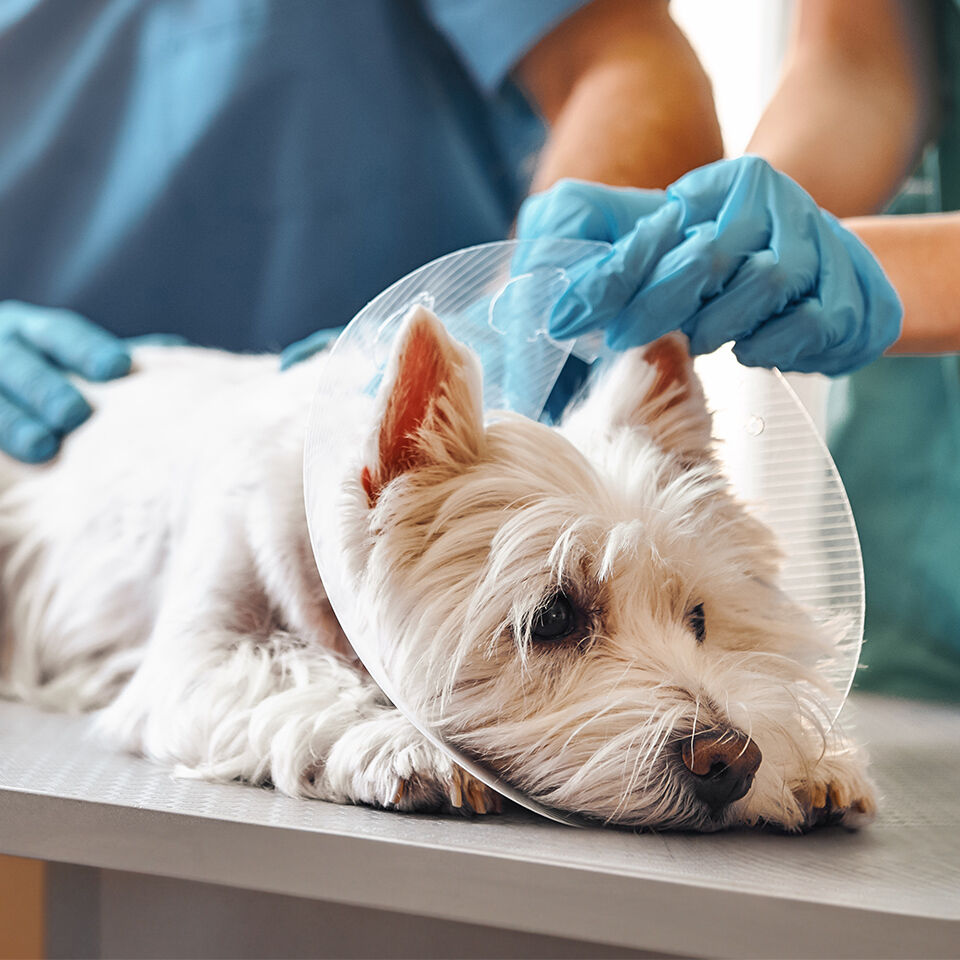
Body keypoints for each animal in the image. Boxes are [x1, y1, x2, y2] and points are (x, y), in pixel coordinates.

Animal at [0, 310, 876, 832]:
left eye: (698, 618)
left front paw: (816, 763)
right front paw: (403, 743)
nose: (732, 762)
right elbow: (289, 674)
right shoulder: (195, 658)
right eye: (553, 617)